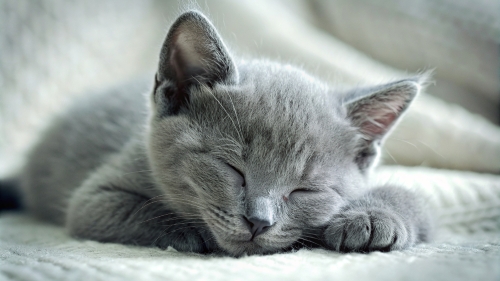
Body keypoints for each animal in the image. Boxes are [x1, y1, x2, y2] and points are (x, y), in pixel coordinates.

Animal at [0, 11, 432, 256]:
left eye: (305, 190)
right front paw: (192, 234)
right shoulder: (93, 200)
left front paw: (373, 220)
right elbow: (129, 209)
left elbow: (412, 197)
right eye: (231, 168)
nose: (259, 221)